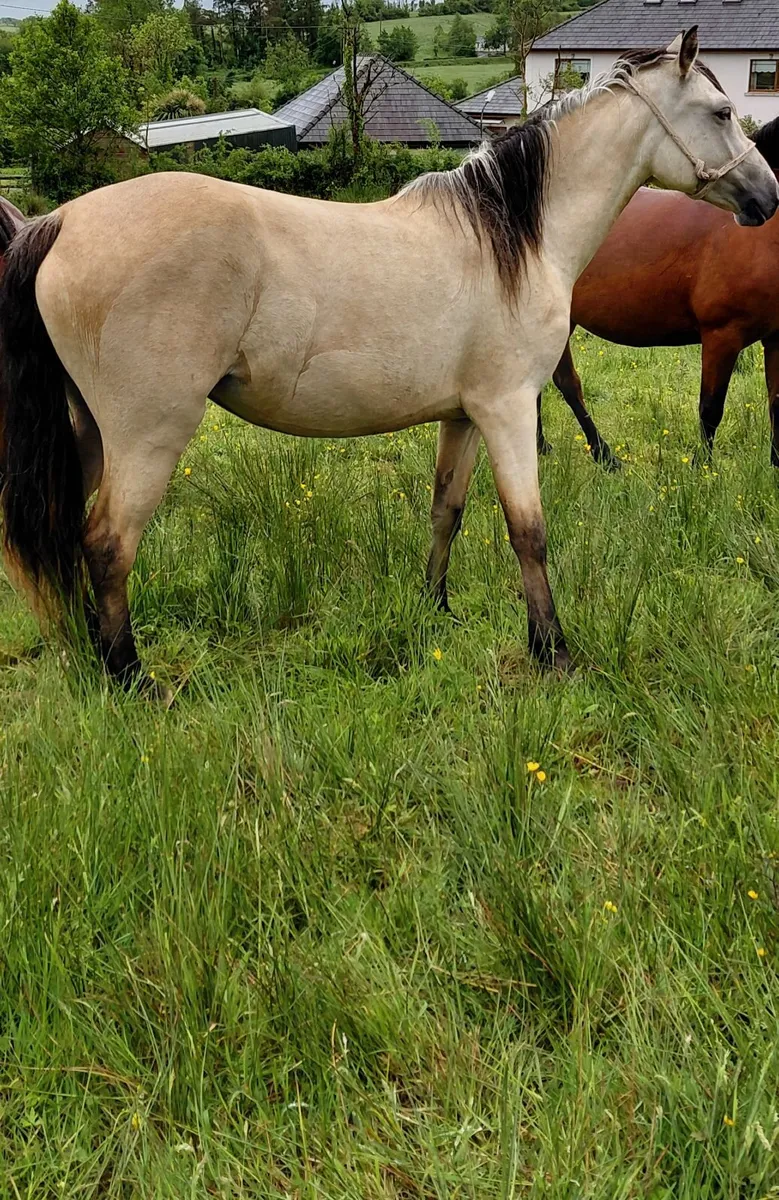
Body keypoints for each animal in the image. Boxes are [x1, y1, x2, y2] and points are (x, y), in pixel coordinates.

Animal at [535, 116, 779, 470]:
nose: (767, 201)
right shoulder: (722, 335)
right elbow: (710, 408)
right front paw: (701, 468)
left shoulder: (775, 338)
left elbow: (776, 403)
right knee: (566, 383)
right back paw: (603, 454)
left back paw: (541, 445)